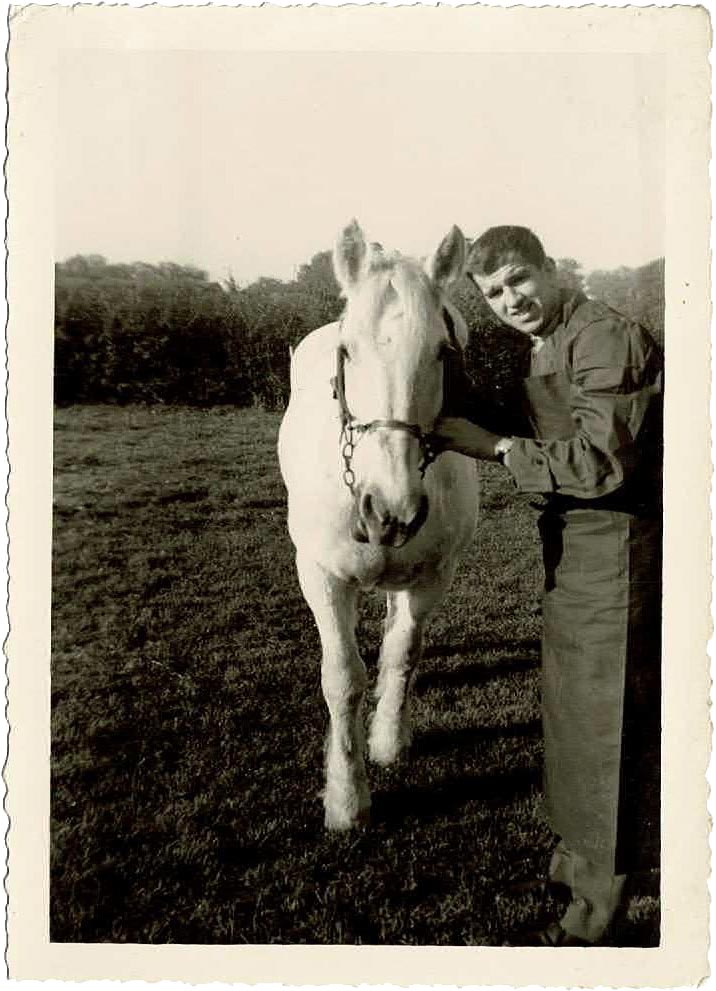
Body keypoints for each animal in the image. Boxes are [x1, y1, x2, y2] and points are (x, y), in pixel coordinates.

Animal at [276, 223, 478, 828]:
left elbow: (402, 653)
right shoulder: (322, 576)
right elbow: (343, 678)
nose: (389, 510)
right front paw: (347, 799)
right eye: (348, 351)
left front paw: (388, 740)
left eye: (443, 350)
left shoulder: (433, 575)